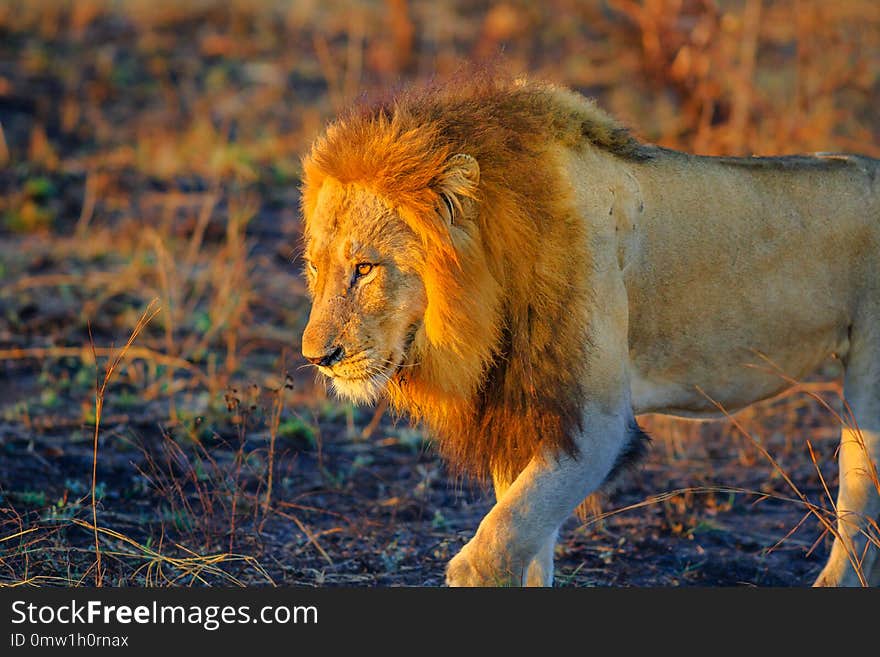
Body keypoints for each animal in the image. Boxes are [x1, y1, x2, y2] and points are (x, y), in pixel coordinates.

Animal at [300, 74, 880, 588]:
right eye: (313, 267)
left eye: (365, 268)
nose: (316, 358)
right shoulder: (527, 411)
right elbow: (530, 550)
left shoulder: (597, 425)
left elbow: (492, 552)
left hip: (867, 393)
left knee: (858, 506)